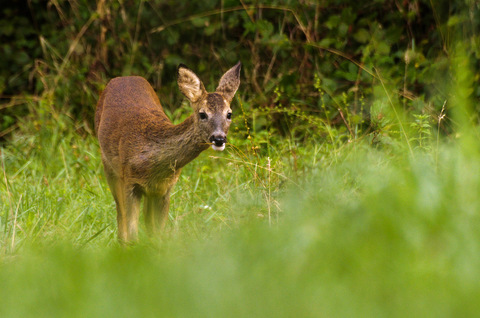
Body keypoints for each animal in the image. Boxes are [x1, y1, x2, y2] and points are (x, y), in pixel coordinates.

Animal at [95, 61, 242, 241]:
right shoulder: (130, 182)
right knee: (120, 216)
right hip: (109, 167)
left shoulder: (165, 189)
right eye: (202, 114)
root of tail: (123, 77)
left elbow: (158, 234)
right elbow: (132, 234)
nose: (219, 138)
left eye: (229, 114)